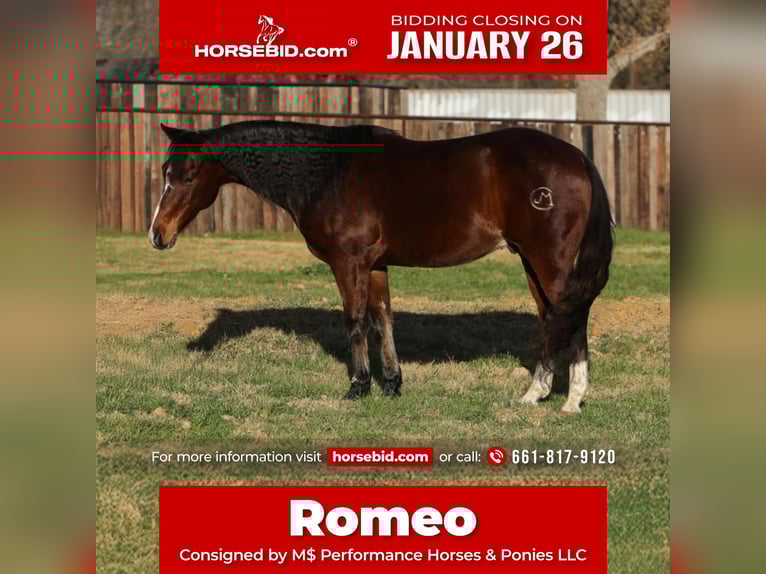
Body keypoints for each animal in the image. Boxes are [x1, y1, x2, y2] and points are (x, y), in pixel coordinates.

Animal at [150, 120, 613, 413]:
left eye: (189, 176)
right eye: (165, 171)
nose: (158, 234)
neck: (327, 171)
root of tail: (578, 158)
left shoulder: (348, 262)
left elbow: (355, 321)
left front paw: (358, 387)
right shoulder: (374, 266)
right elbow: (382, 319)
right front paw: (392, 384)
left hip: (549, 261)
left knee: (572, 316)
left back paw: (571, 401)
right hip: (532, 262)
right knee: (554, 318)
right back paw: (536, 395)